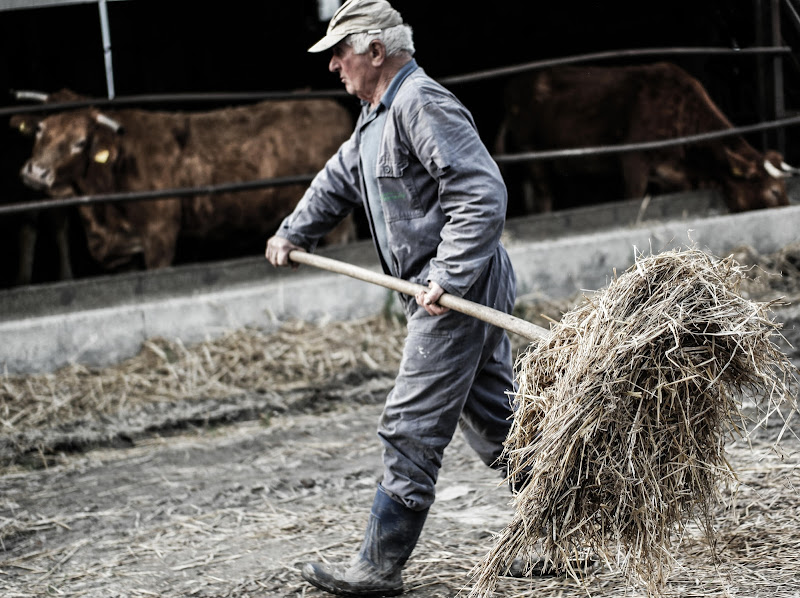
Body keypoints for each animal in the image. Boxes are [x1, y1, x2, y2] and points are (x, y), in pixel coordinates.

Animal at [14, 91, 354, 272]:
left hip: (337, 230)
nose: (36, 172)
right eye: (40, 129)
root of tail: (327, 105)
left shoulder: (159, 236)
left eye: (81, 142)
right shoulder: (121, 252)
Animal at [496, 61, 792, 214]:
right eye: (774, 191)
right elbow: (633, 199)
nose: (788, 206)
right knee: (544, 196)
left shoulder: (675, 177)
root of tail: (515, 83)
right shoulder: (633, 160)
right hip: (531, 152)